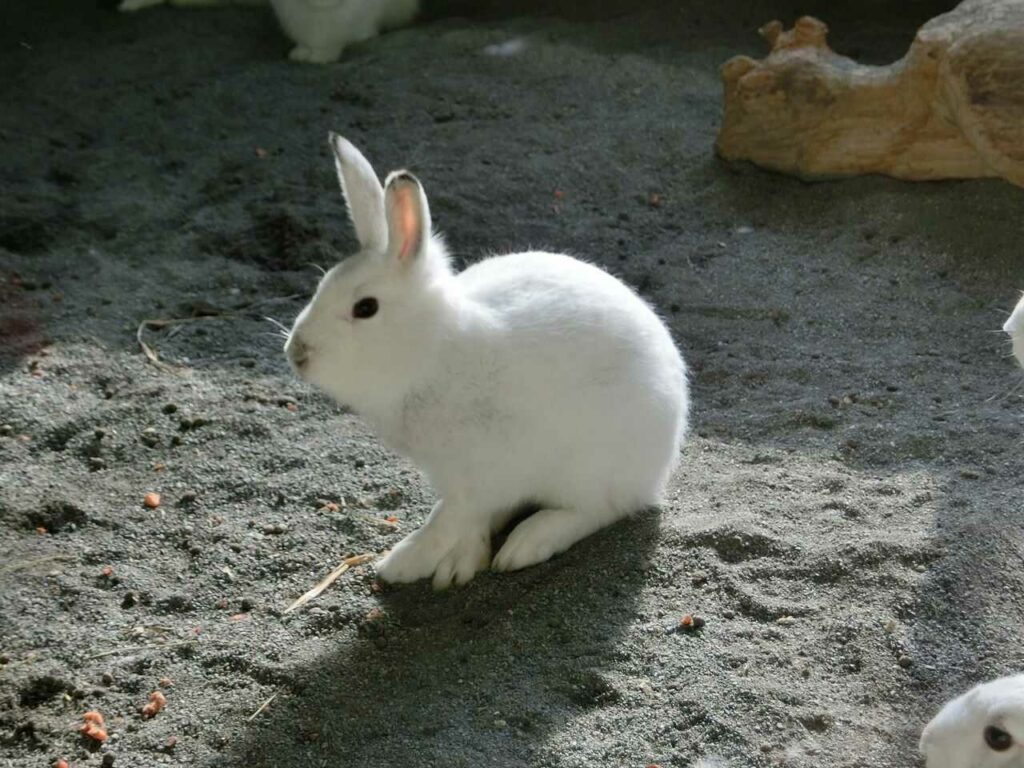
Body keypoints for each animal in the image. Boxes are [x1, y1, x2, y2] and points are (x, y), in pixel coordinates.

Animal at [284, 134, 692, 589]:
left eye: (366, 308)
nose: (296, 353)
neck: (431, 353)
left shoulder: (481, 474)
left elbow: (453, 519)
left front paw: (410, 565)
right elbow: (456, 518)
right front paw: (422, 561)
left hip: (592, 466)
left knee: (595, 509)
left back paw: (527, 544)